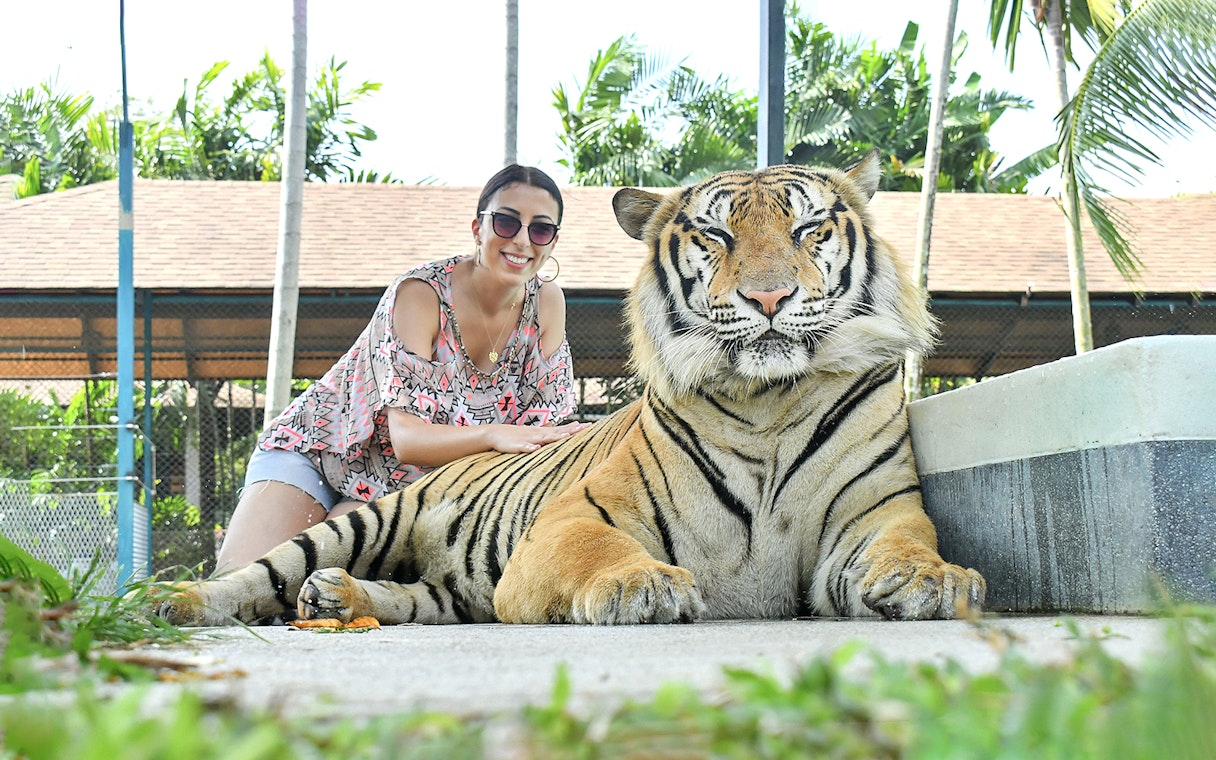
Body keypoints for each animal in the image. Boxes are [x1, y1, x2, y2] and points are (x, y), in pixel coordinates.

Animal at [158, 151, 985, 627]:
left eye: (809, 229)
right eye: (715, 235)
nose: (770, 297)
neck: (770, 402)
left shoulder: (876, 510)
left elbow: (909, 542)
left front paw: (935, 579)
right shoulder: (572, 517)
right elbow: (599, 547)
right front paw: (639, 585)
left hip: (450, 592)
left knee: (412, 599)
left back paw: (340, 597)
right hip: (356, 523)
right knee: (249, 574)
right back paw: (170, 601)